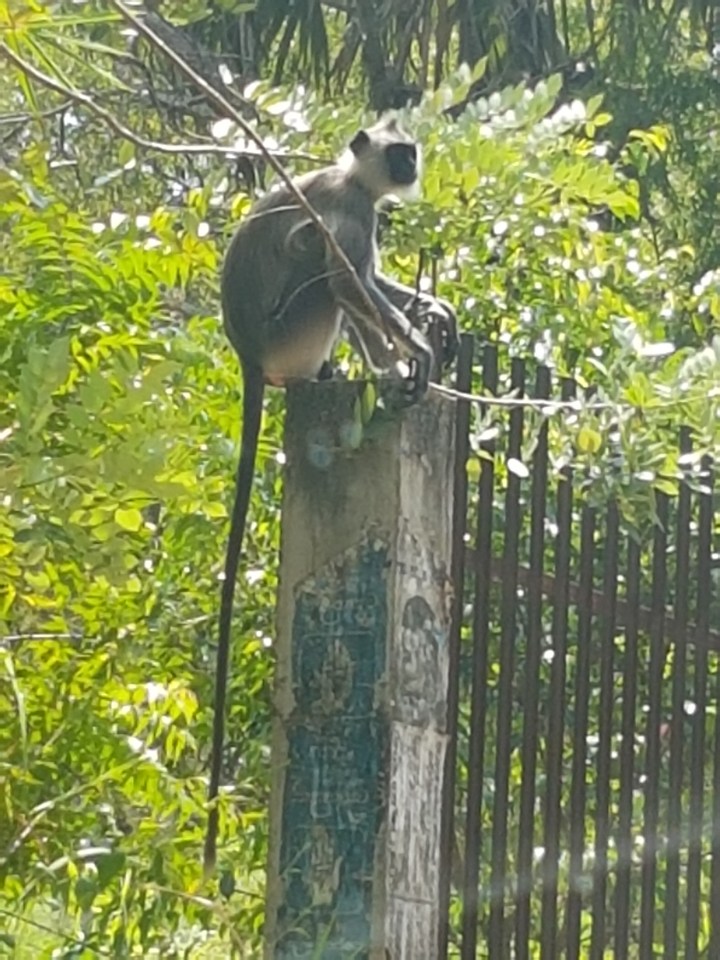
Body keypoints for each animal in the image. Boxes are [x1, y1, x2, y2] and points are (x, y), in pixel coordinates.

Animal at [204, 118, 458, 871]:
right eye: (399, 151)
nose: (410, 165)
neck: (350, 179)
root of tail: (248, 354)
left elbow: (370, 282)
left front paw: (434, 310)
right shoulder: (348, 216)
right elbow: (348, 278)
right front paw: (413, 353)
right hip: (294, 331)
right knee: (324, 277)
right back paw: (383, 373)